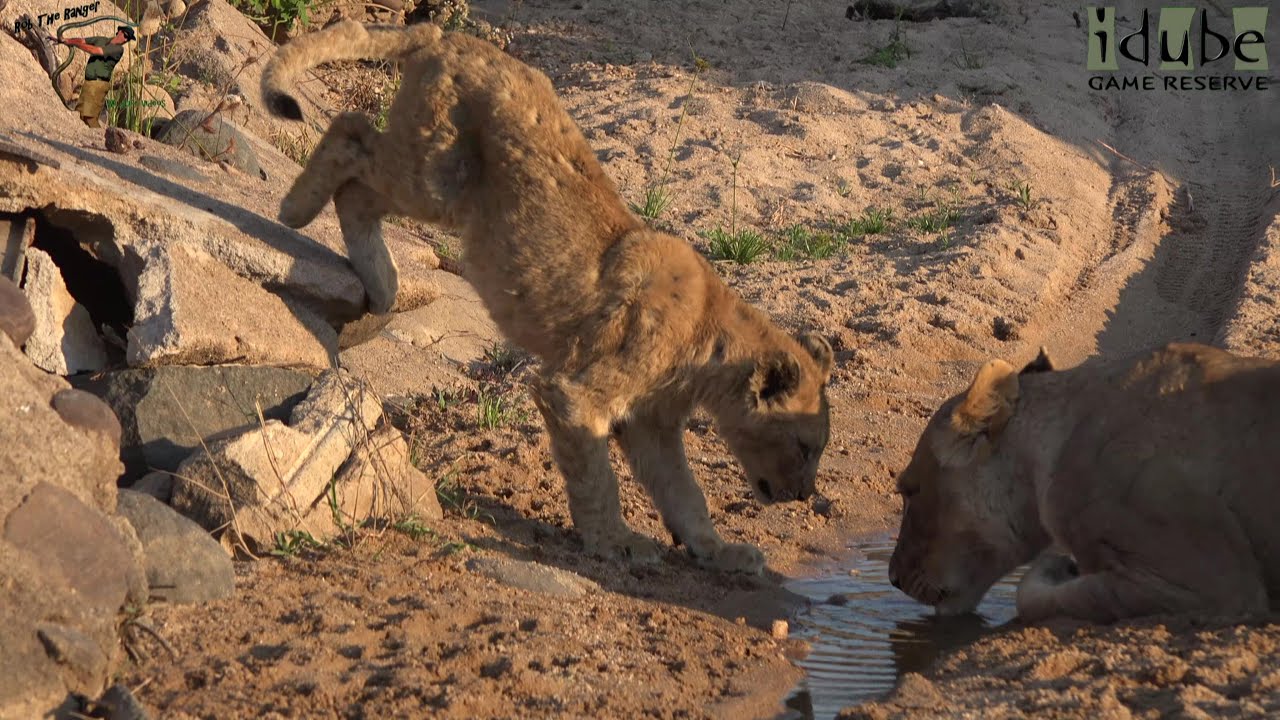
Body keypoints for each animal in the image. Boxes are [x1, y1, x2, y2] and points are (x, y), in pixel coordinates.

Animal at [259, 21, 834, 574]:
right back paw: (294, 211)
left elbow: (684, 494)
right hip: (435, 177)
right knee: (351, 130)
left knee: (357, 190)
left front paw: (719, 551)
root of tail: (447, 36)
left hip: (436, 186)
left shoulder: (651, 423)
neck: (710, 341)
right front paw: (617, 543)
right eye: (804, 444)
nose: (802, 497)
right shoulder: (575, 391)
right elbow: (597, 478)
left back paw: (381, 285)